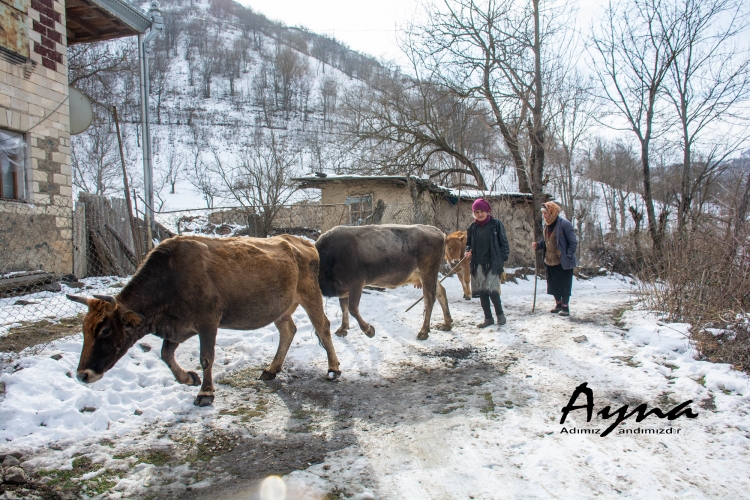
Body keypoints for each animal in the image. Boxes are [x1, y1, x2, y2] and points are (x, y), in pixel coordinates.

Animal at [66, 235, 342, 406]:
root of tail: (301, 242)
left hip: (310, 294)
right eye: (84, 330)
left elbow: (206, 357)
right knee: (288, 330)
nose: (82, 375)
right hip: (281, 308)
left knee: (323, 327)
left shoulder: (208, 322)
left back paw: (333, 368)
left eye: (104, 330)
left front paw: (206, 392)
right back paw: (271, 369)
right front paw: (188, 378)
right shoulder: (178, 326)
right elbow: (166, 355)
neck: (169, 279)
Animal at [316, 225, 452, 342]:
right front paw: (343, 329)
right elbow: (344, 307)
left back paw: (424, 331)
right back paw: (447, 324)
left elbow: (352, 308)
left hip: (428, 272)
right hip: (427, 275)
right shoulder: (342, 288)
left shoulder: (356, 283)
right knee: (441, 292)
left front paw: (369, 330)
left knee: (429, 298)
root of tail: (437, 231)